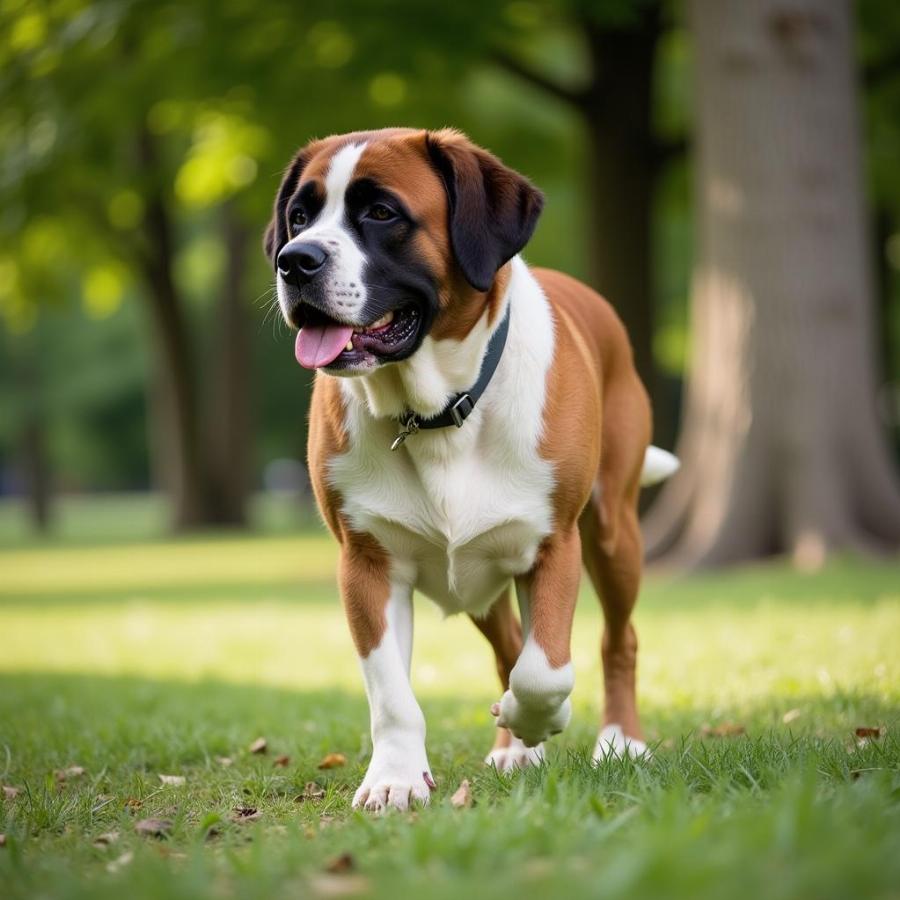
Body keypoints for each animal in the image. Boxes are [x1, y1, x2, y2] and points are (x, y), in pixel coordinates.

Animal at [264, 128, 680, 816]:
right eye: (299, 216)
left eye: (382, 212)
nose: (294, 260)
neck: (439, 412)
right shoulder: (367, 564)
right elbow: (393, 694)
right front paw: (396, 778)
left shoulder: (552, 545)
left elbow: (545, 669)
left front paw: (539, 718)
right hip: (478, 582)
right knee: (508, 643)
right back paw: (518, 749)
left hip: (612, 534)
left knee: (615, 640)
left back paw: (621, 741)